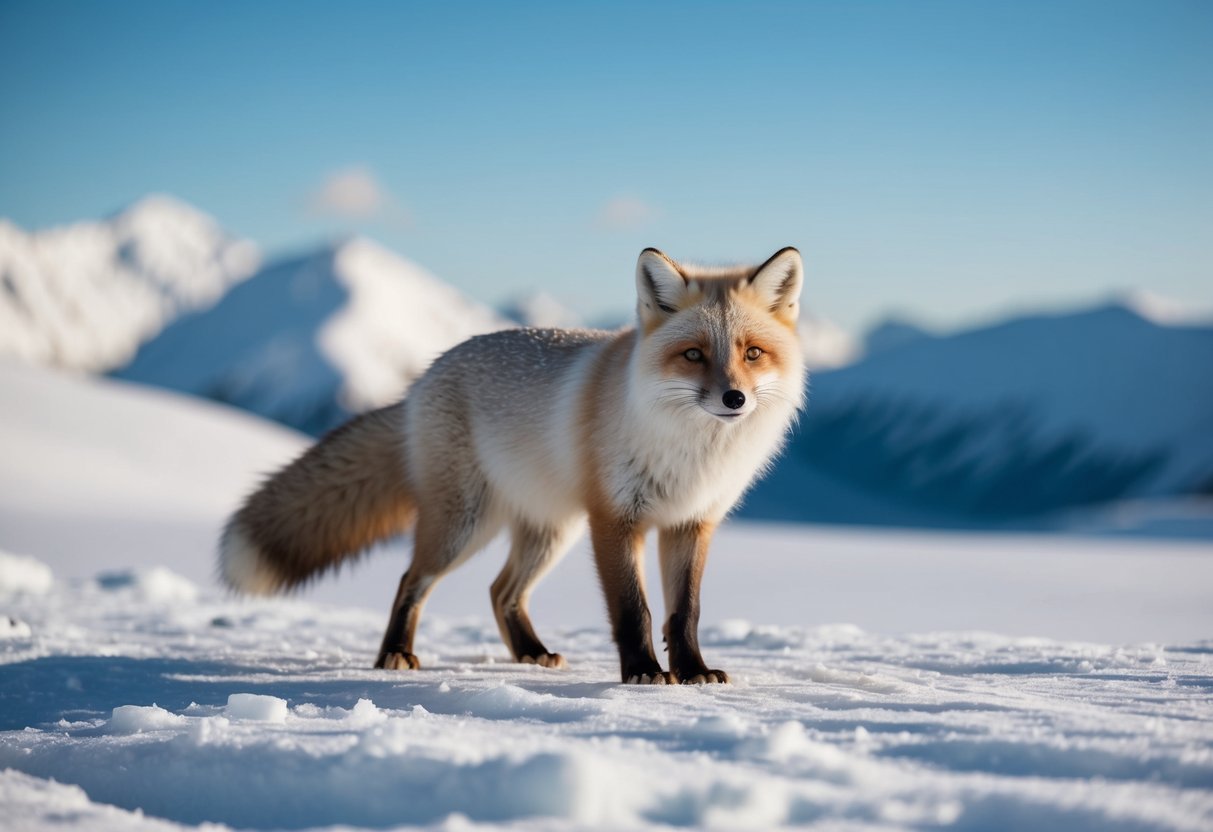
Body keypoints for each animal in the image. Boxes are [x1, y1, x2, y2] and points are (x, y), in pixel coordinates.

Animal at [220, 247, 807, 684]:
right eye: (693, 355)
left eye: (752, 353)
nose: (734, 399)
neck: (691, 453)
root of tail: (421, 381)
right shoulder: (614, 519)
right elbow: (633, 609)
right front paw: (643, 671)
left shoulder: (692, 522)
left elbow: (685, 612)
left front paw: (693, 671)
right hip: (464, 527)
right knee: (413, 578)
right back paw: (395, 655)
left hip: (550, 531)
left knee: (501, 592)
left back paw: (532, 653)